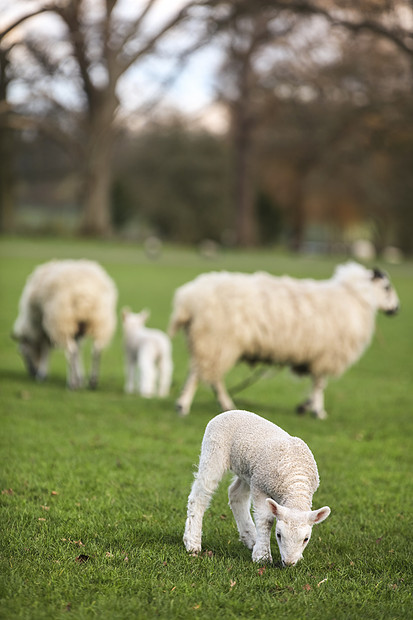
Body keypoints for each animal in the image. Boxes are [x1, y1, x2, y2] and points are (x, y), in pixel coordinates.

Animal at [12, 256, 116, 388]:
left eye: (22, 351)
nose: (32, 372)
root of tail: (85, 293)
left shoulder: (43, 327)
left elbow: (46, 348)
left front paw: (42, 375)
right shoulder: (78, 330)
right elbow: (79, 350)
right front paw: (80, 377)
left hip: (62, 321)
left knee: (71, 351)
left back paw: (73, 385)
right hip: (100, 321)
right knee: (96, 350)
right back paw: (92, 382)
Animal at [169, 262, 398, 416]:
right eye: (387, 287)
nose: (397, 309)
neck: (357, 298)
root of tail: (187, 298)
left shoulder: (316, 356)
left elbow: (316, 383)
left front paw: (306, 406)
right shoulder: (327, 354)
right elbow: (320, 383)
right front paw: (318, 410)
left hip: (206, 341)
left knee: (204, 373)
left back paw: (217, 404)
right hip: (216, 340)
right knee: (202, 374)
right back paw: (186, 406)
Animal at [185, 412, 330, 568]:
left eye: (306, 539)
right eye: (278, 535)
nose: (288, 563)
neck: (295, 484)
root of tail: (230, 412)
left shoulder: (258, 480)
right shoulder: (260, 487)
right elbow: (266, 520)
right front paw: (262, 556)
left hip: (247, 472)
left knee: (236, 494)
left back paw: (251, 538)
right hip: (214, 451)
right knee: (200, 496)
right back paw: (192, 542)